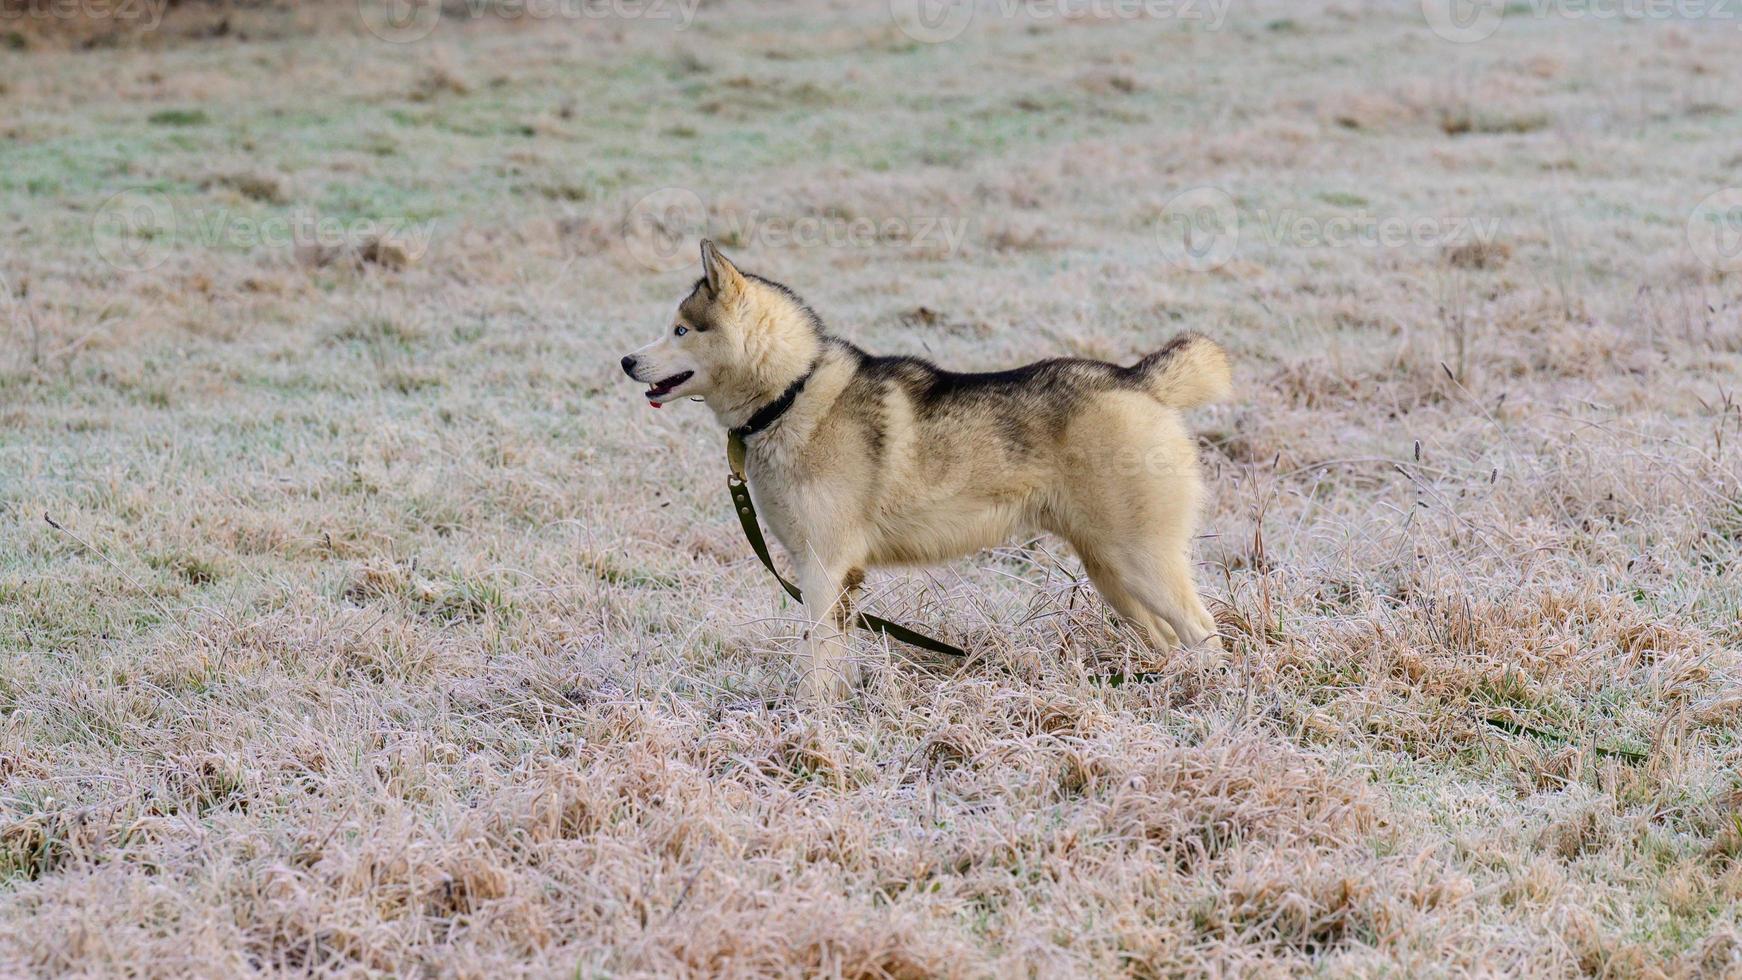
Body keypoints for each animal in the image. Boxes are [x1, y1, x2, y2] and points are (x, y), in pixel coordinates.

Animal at [620, 241, 1233, 703]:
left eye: (680, 330)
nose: (626, 361)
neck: (791, 394)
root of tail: (1136, 379)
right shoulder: (840, 580)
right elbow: (835, 659)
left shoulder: (822, 570)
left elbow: (815, 659)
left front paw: (809, 723)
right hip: (1113, 574)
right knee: (1170, 638)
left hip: (1140, 564)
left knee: (1206, 633)